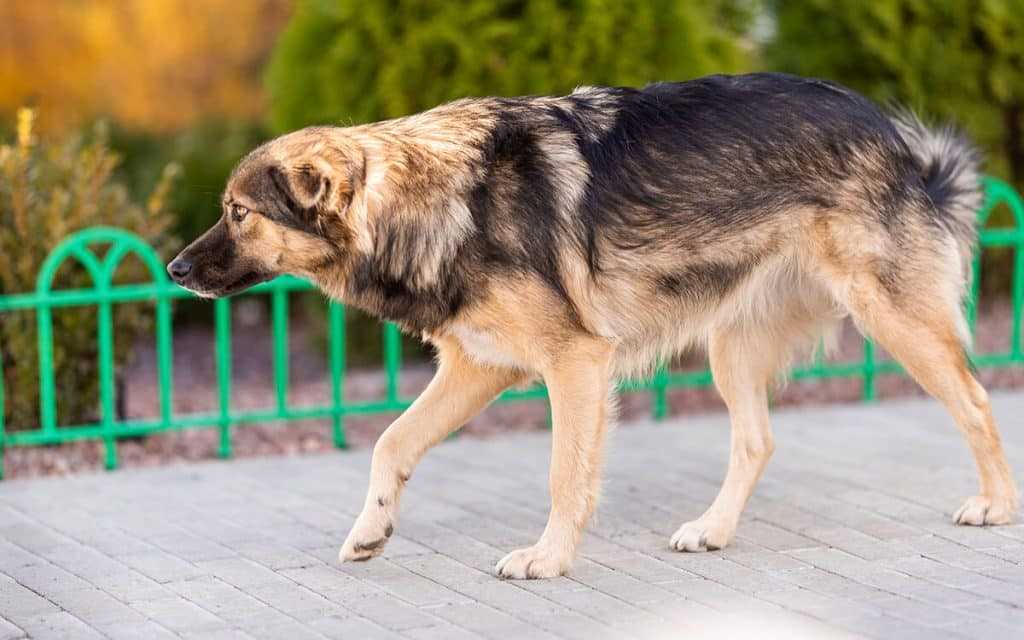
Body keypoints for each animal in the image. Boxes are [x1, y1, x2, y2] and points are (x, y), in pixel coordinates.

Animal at [167, 71, 1015, 577]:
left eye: (237, 214)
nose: (172, 270)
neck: (431, 198)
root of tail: (902, 142)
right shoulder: (479, 367)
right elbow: (390, 443)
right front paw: (371, 531)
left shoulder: (573, 364)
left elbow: (563, 474)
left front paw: (548, 558)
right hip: (731, 344)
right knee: (757, 440)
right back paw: (713, 529)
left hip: (892, 318)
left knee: (977, 403)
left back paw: (998, 506)